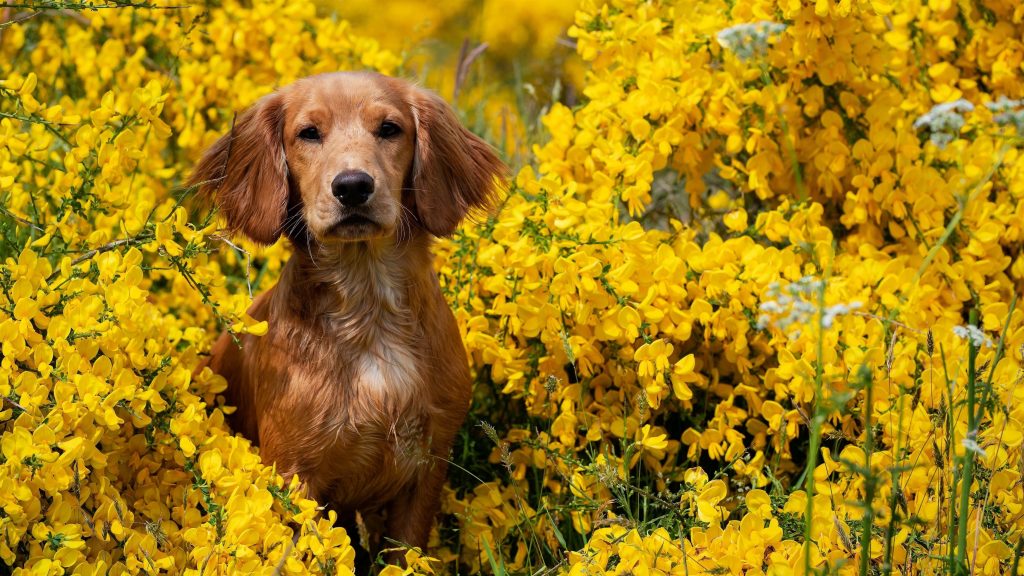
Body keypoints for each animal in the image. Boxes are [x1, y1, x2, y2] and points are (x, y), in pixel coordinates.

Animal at [189, 71, 507, 561]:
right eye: (308, 133)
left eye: (390, 129)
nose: (353, 186)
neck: (369, 308)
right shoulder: (295, 472)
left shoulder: (426, 466)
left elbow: (404, 555)